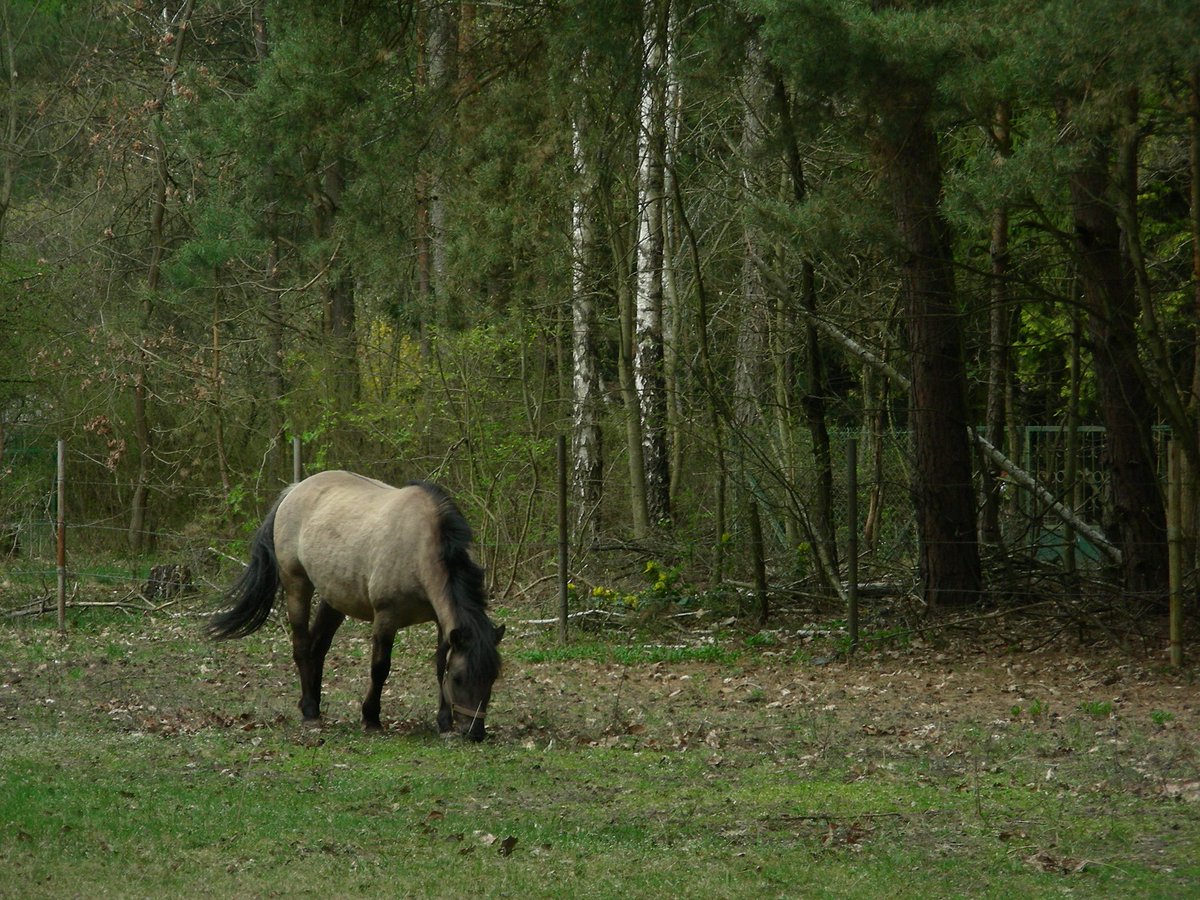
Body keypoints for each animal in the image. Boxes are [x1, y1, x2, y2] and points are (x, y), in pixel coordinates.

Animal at [208, 470, 504, 741]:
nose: (475, 732)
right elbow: (380, 668)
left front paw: (443, 723)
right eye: (459, 679)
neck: (419, 547)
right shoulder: (386, 618)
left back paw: (313, 704)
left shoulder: (442, 621)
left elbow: (440, 664)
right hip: (297, 585)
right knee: (302, 646)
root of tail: (294, 490)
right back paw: (310, 712)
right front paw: (371, 717)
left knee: (318, 647)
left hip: (335, 598)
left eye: (492, 678)